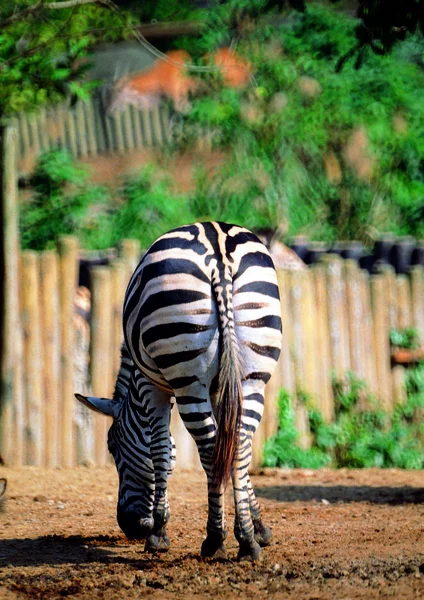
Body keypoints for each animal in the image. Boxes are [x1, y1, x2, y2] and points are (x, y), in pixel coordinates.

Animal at [76, 221, 284, 564]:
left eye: (113, 447)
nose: (128, 525)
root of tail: (217, 244)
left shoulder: (152, 388)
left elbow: (160, 450)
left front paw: (159, 533)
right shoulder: (222, 389)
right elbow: (232, 450)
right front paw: (259, 527)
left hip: (188, 377)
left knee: (211, 449)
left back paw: (215, 540)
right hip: (253, 376)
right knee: (240, 444)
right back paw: (247, 543)